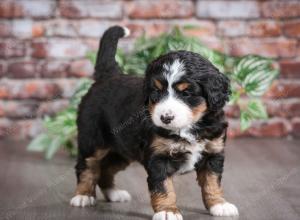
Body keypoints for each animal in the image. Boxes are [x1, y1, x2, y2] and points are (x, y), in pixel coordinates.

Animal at [70, 26, 239, 220]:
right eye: (156, 92)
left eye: (186, 93)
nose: (165, 118)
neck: (188, 127)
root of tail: (108, 76)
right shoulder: (158, 157)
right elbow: (164, 187)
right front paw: (167, 211)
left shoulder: (213, 152)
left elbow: (213, 182)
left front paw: (219, 204)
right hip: (93, 139)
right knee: (87, 166)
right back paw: (83, 195)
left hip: (122, 150)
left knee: (106, 168)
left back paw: (114, 193)